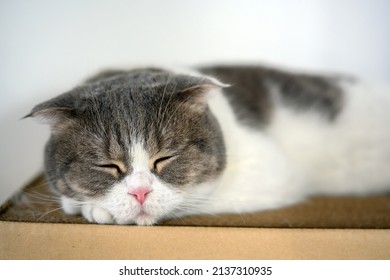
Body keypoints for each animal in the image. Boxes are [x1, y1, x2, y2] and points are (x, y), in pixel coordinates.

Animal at [27, 65, 390, 225]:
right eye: (107, 165)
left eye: (165, 158)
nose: (140, 192)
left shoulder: (270, 172)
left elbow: (190, 199)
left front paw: (96, 209)